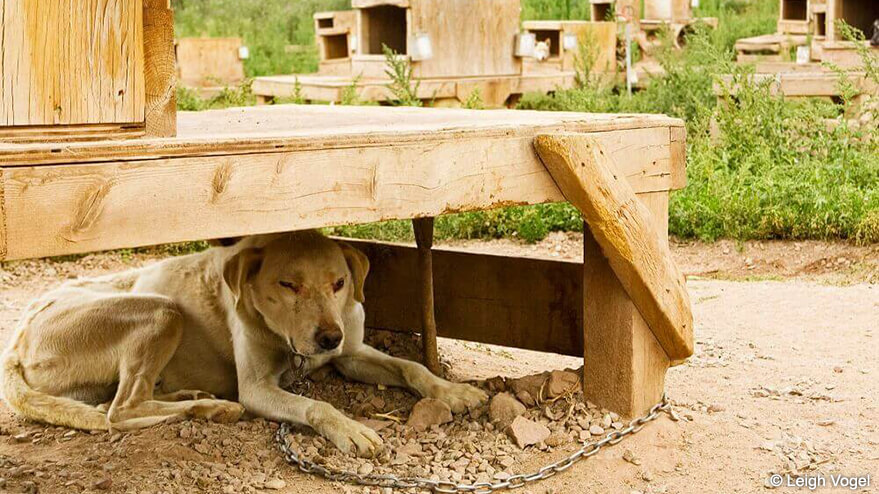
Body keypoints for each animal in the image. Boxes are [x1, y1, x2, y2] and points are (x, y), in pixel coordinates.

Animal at [1, 232, 488, 456]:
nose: (328, 337)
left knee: (119, 402)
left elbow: (412, 367)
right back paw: (212, 407)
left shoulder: (350, 355)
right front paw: (349, 428)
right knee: (119, 410)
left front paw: (453, 391)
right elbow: (317, 405)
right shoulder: (257, 387)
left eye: (340, 283)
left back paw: (195, 397)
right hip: (161, 310)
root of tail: (18, 337)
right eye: (288, 285)